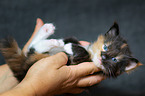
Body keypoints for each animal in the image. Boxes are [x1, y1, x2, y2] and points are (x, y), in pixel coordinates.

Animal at [0, 22, 142, 82]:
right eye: (105, 47)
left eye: (114, 60)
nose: (103, 57)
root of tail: (23, 74)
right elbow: (72, 39)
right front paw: (66, 42)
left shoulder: (77, 61)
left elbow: (81, 52)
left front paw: (68, 46)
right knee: (32, 48)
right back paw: (48, 32)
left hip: (34, 62)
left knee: (33, 50)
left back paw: (52, 40)